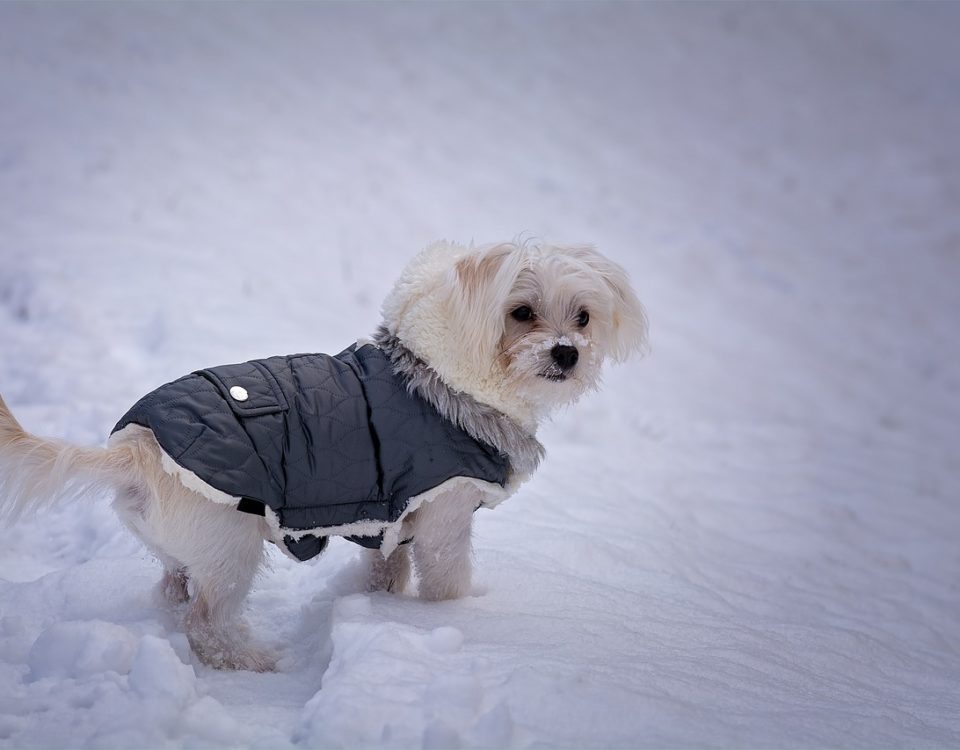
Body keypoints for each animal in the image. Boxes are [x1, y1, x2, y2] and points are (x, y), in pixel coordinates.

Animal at [0, 239, 648, 668]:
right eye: (521, 312)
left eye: (583, 317)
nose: (567, 353)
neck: (437, 381)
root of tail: (138, 447)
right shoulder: (445, 516)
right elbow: (447, 579)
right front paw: (455, 618)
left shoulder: (392, 524)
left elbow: (387, 572)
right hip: (230, 547)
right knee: (205, 621)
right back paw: (249, 661)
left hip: (186, 550)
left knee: (172, 591)